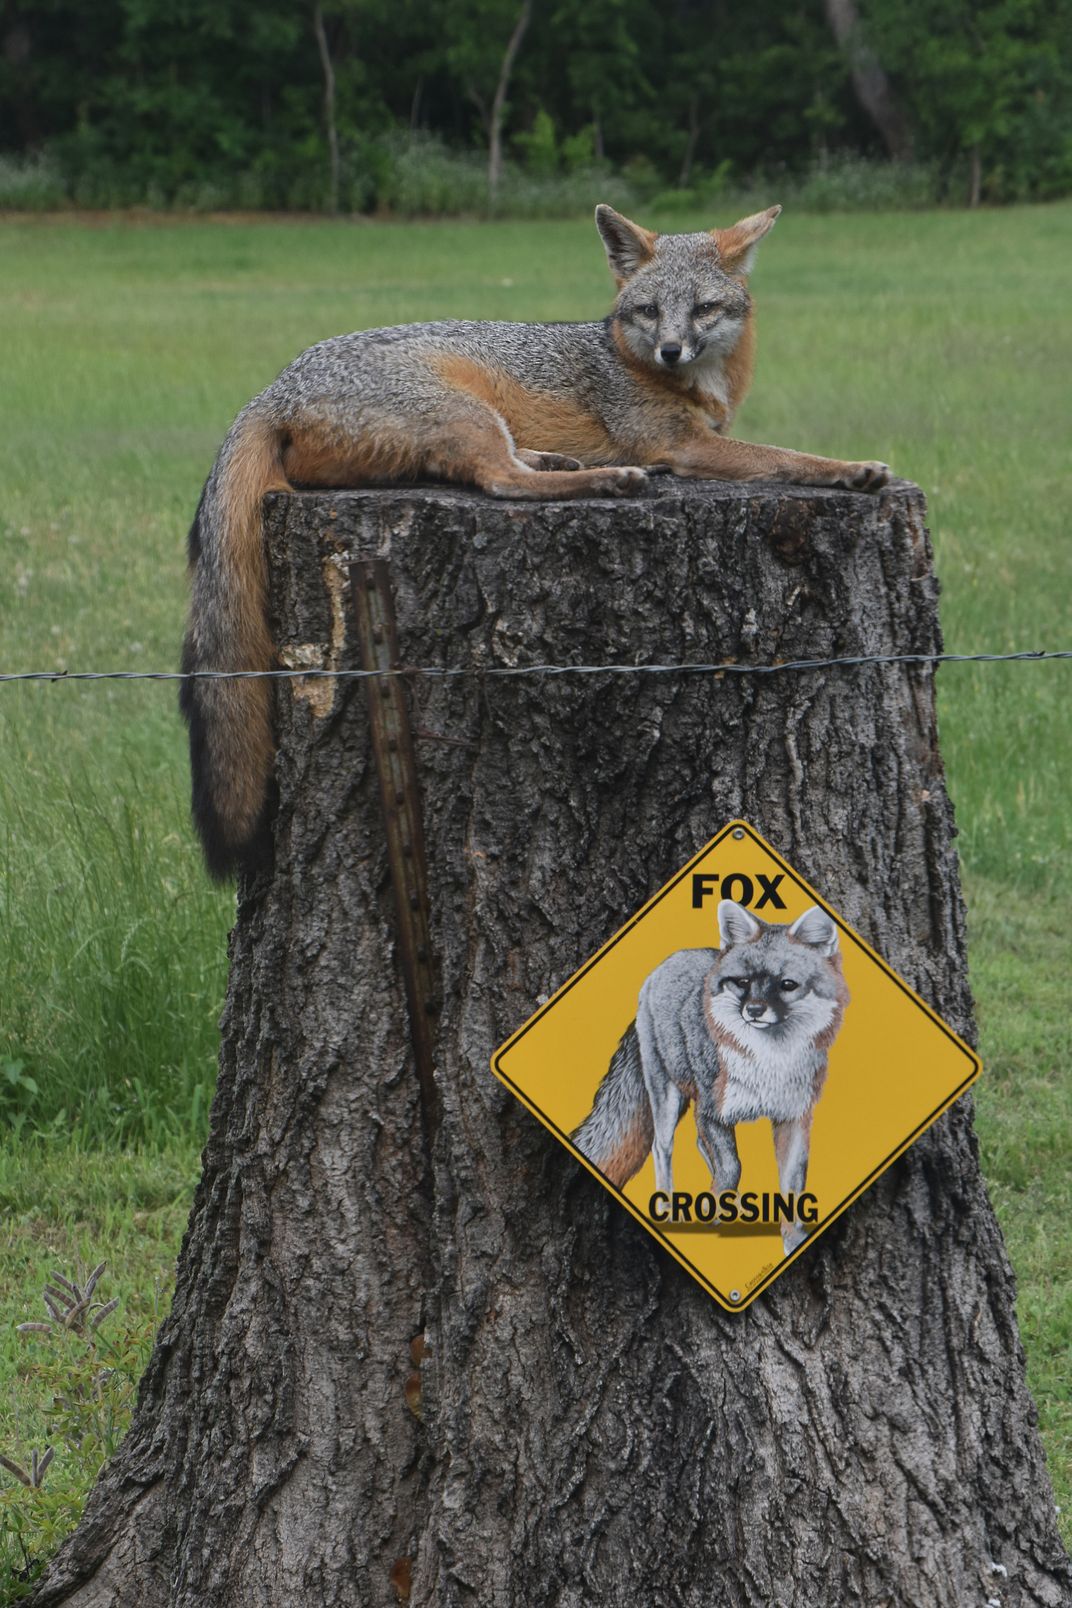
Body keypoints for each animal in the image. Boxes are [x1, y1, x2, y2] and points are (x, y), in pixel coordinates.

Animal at [182, 209, 887, 881]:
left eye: (704, 309)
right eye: (650, 310)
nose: (671, 350)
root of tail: (273, 388)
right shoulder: (683, 446)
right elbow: (787, 457)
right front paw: (849, 468)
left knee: (498, 469)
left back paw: (560, 461)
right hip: (469, 413)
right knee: (500, 480)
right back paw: (606, 478)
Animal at [575, 900, 848, 1247]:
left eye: (787, 984)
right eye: (742, 982)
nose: (754, 1011)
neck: (769, 1063)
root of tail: (665, 964)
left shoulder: (793, 1116)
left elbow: (791, 1186)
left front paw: (792, 1240)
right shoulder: (710, 1110)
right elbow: (731, 1167)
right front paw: (715, 1215)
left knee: (698, 1145)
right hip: (668, 1098)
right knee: (662, 1147)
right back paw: (667, 1209)